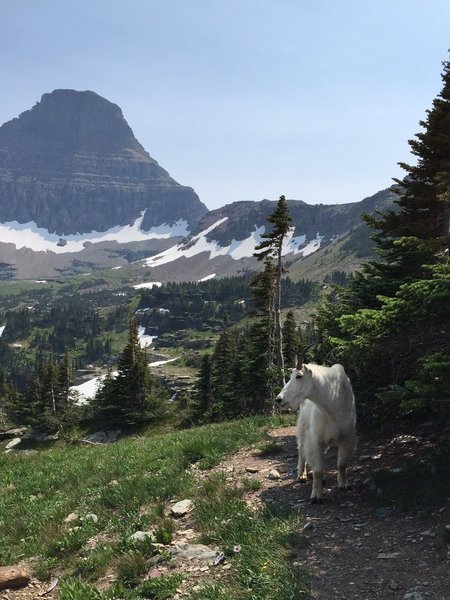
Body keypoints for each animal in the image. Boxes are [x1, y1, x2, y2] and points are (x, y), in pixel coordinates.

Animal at [276, 354, 356, 500]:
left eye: (299, 376)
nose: (279, 399)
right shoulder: (316, 439)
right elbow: (318, 470)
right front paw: (315, 497)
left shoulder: (346, 436)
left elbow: (341, 465)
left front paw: (343, 486)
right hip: (303, 428)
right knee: (301, 450)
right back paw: (301, 475)